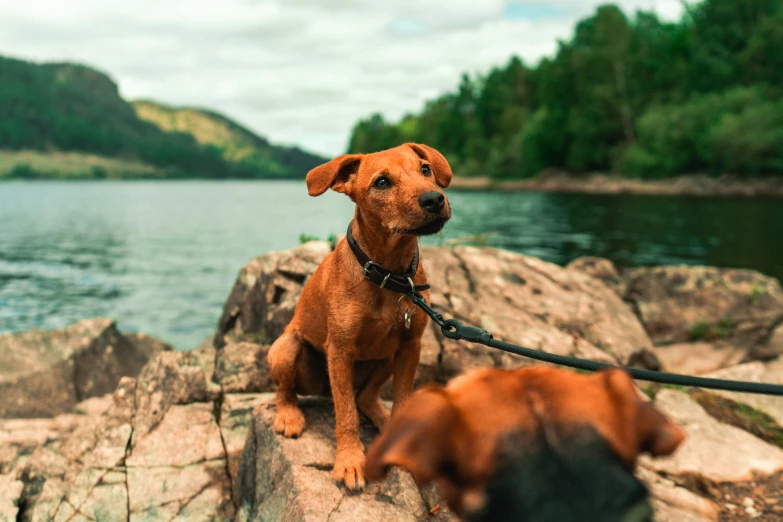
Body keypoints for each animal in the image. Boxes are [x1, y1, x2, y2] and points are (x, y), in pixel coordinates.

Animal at [268, 141, 454, 488]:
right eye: (381, 182)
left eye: (425, 169)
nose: (434, 199)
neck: (389, 275)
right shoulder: (340, 351)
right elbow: (346, 414)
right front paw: (350, 461)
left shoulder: (410, 347)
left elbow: (401, 401)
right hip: (285, 348)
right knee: (286, 391)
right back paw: (289, 416)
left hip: (386, 356)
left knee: (366, 396)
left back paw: (379, 417)